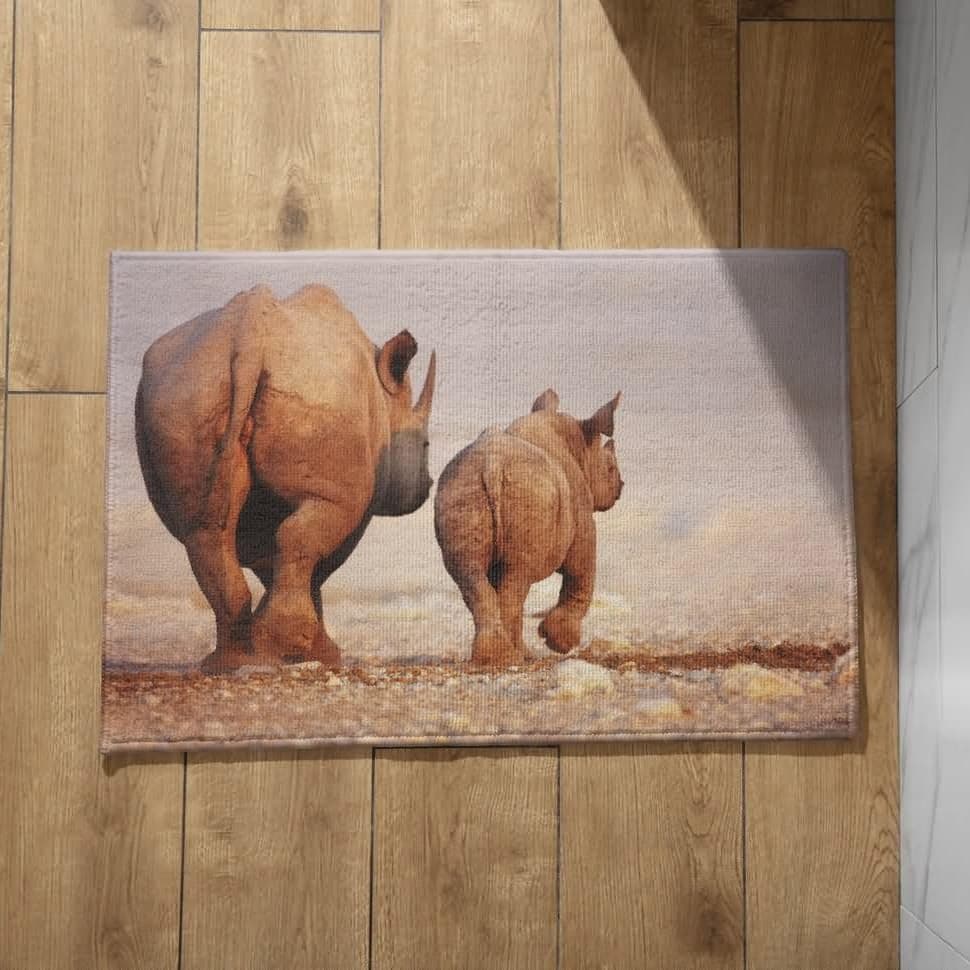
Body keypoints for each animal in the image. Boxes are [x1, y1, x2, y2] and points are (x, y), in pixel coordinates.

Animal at [135, 283, 436, 672]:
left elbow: (269, 558)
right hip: (317, 391)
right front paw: (316, 653)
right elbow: (321, 564)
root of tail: (247, 337)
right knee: (301, 532)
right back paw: (280, 651)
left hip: (184, 391)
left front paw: (275, 647)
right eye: (425, 444)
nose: (427, 486)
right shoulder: (357, 496)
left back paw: (225, 662)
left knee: (204, 531)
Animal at [434, 389, 623, 667]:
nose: (620, 486)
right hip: (528, 493)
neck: (581, 448)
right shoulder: (582, 518)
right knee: (517, 578)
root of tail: (492, 465)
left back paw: (495, 658)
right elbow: (581, 575)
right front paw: (559, 642)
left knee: (472, 575)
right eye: (610, 468)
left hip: (459, 490)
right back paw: (515, 658)